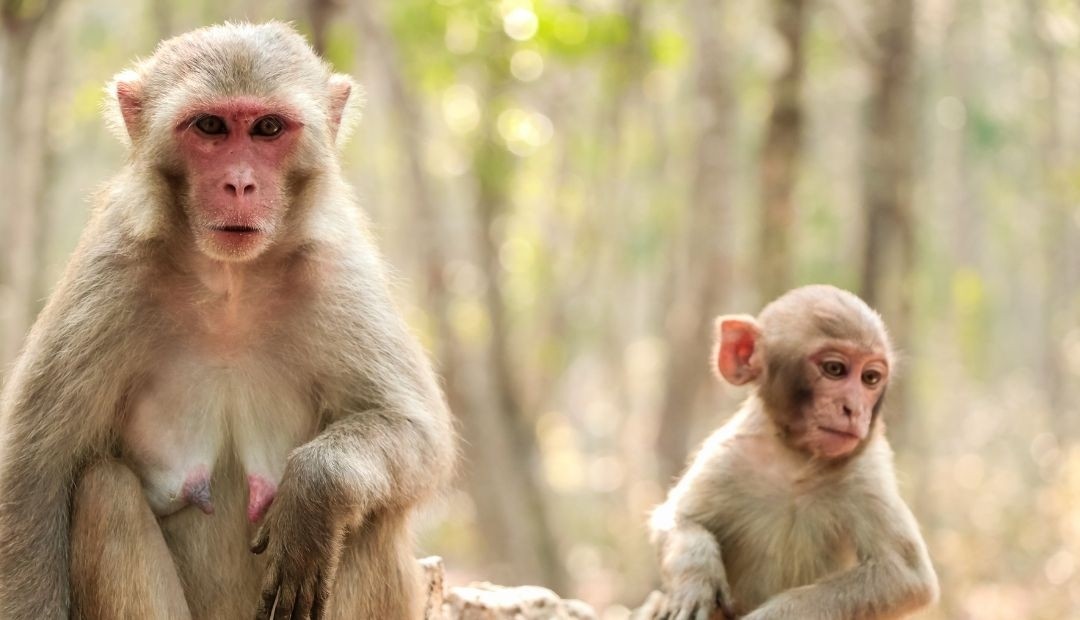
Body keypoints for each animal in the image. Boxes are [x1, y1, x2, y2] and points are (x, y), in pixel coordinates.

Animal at [0, 22, 455, 620]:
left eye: (268, 128)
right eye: (210, 126)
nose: (239, 184)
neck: (232, 282)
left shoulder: (338, 272)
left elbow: (417, 432)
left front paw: (314, 492)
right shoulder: (110, 270)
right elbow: (33, 477)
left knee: (373, 516)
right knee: (104, 490)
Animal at [646, 285, 938, 620]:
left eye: (870, 378)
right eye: (835, 369)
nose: (854, 409)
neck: (794, 458)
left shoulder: (866, 473)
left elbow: (904, 575)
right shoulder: (727, 455)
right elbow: (677, 519)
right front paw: (696, 581)